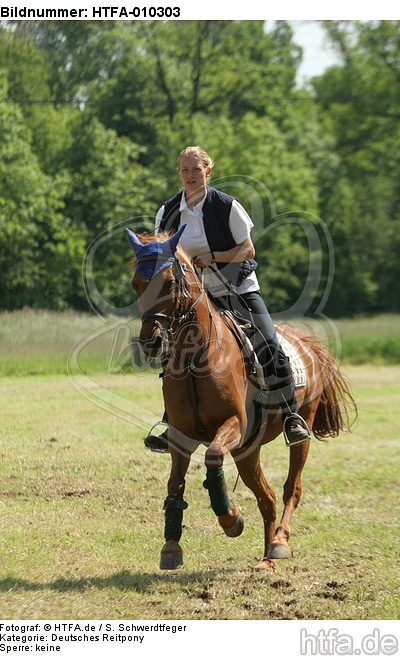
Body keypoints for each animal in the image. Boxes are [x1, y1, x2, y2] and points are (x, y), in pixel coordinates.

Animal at [127, 226, 357, 572]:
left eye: (169, 282)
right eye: (136, 284)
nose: (150, 342)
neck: (195, 358)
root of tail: (308, 343)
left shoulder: (232, 425)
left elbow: (212, 458)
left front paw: (231, 519)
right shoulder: (181, 437)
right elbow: (174, 484)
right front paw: (170, 546)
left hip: (292, 432)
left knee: (290, 489)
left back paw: (278, 544)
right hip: (248, 451)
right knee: (267, 497)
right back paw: (266, 557)